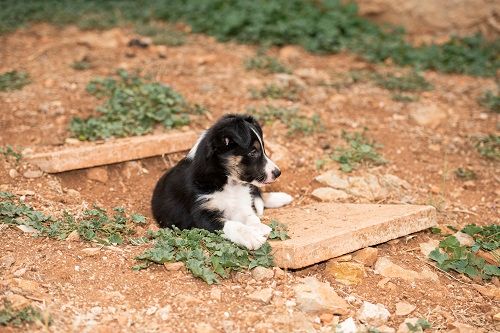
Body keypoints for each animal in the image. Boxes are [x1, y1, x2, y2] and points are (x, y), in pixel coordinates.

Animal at [152, 113, 292, 248]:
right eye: (253, 152)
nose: (278, 173)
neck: (229, 183)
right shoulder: (201, 215)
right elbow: (232, 224)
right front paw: (251, 237)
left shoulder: (239, 205)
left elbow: (251, 217)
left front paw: (259, 227)